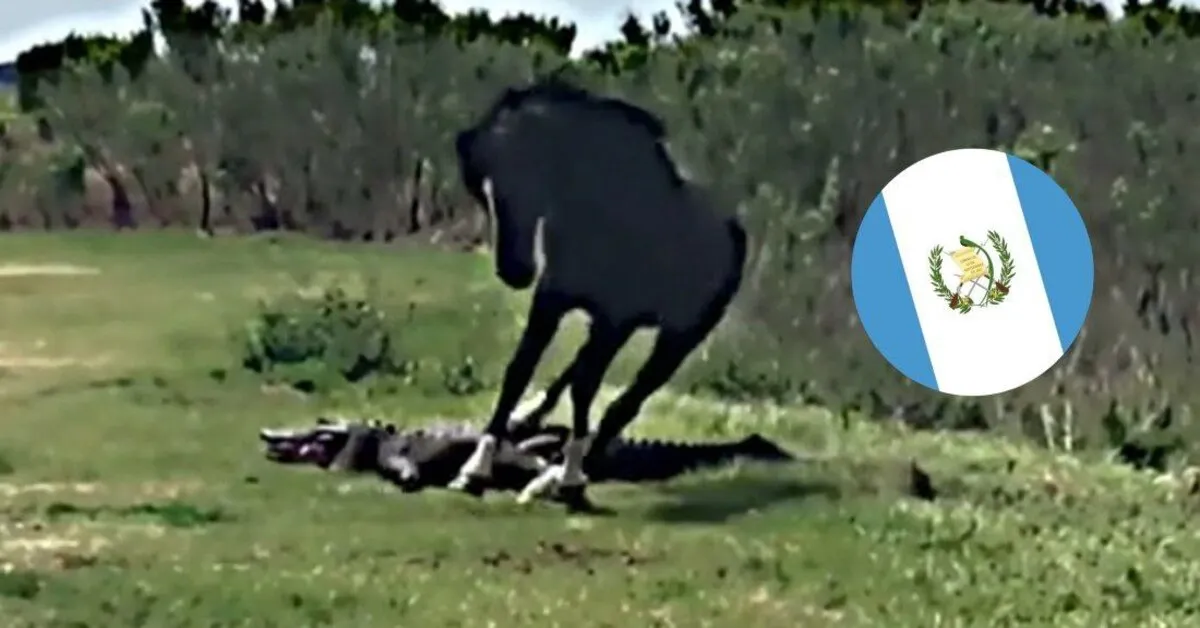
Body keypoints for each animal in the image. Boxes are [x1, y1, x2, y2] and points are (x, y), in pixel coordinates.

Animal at [449, 79, 748, 512]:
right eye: (482, 191)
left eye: (529, 174)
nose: (515, 272)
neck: (604, 216)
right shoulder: (552, 301)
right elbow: (520, 371)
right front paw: (475, 468)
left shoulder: (613, 319)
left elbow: (587, 390)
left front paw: (569, 479)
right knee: (577, 377)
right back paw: (531, 426)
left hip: (677, 340)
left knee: (620, 407)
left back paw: (554, 478)